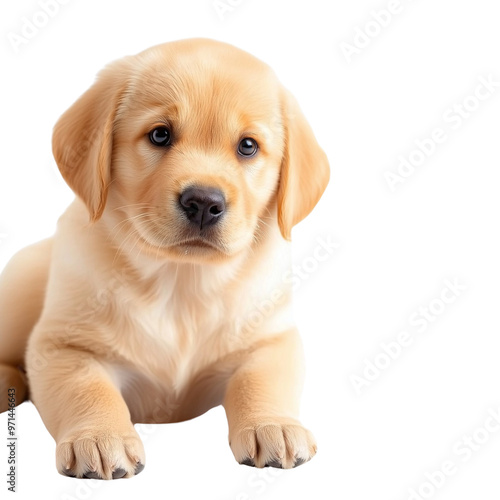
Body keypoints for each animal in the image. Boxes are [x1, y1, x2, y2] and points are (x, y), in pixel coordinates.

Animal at [0, 38, 330, 476]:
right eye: (160, 135)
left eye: (247, 146)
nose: (203, 202)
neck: (180, 280)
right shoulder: (62, 344)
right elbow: (86, 387)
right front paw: (100, 437)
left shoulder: (271, 337)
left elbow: (262, 379)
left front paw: (272, 425)